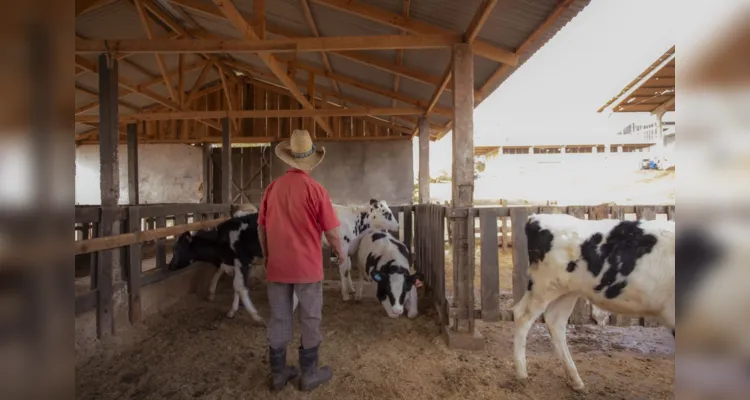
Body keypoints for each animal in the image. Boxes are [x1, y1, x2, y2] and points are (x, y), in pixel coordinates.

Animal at [516, 212, 680, 390]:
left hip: (567, 291)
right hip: (544, 286)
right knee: (522, 315)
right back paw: (522, 374)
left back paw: (576, 380)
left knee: (555, 321)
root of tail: (537, 217)